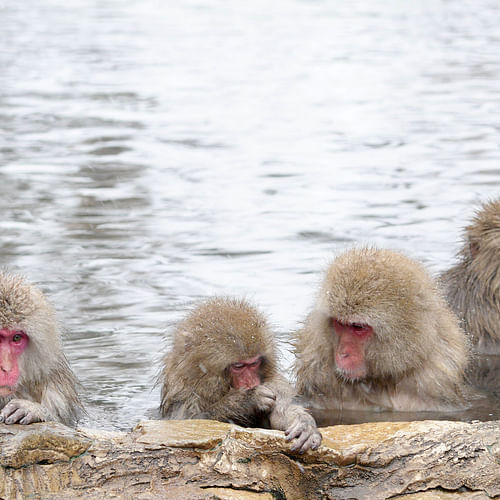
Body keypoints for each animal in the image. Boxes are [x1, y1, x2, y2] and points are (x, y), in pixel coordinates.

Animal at [162, 296, 322, 454]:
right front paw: (245, 400)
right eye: (238, 366)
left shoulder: (274, 384)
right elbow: (190, 421)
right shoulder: (183, 396)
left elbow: (280, 413)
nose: (252, 383)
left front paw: (303, 424)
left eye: (254, 363)